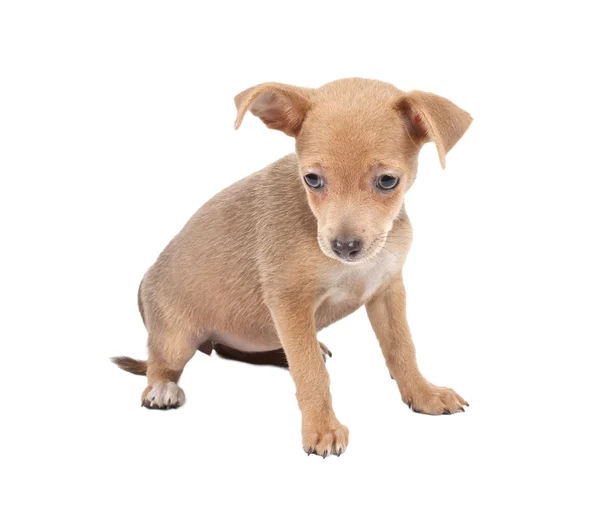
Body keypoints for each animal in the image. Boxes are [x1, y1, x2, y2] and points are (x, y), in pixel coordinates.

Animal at [110, 77, 472, 458]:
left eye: (388, 181)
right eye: (312, 179)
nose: (344, 246)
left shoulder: (387, 290)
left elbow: (401, 348)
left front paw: (423, 392)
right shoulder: (290, 302)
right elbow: (310, 371)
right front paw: (321, 428)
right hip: (176, 340)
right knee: (158, 363)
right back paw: (161, 388)